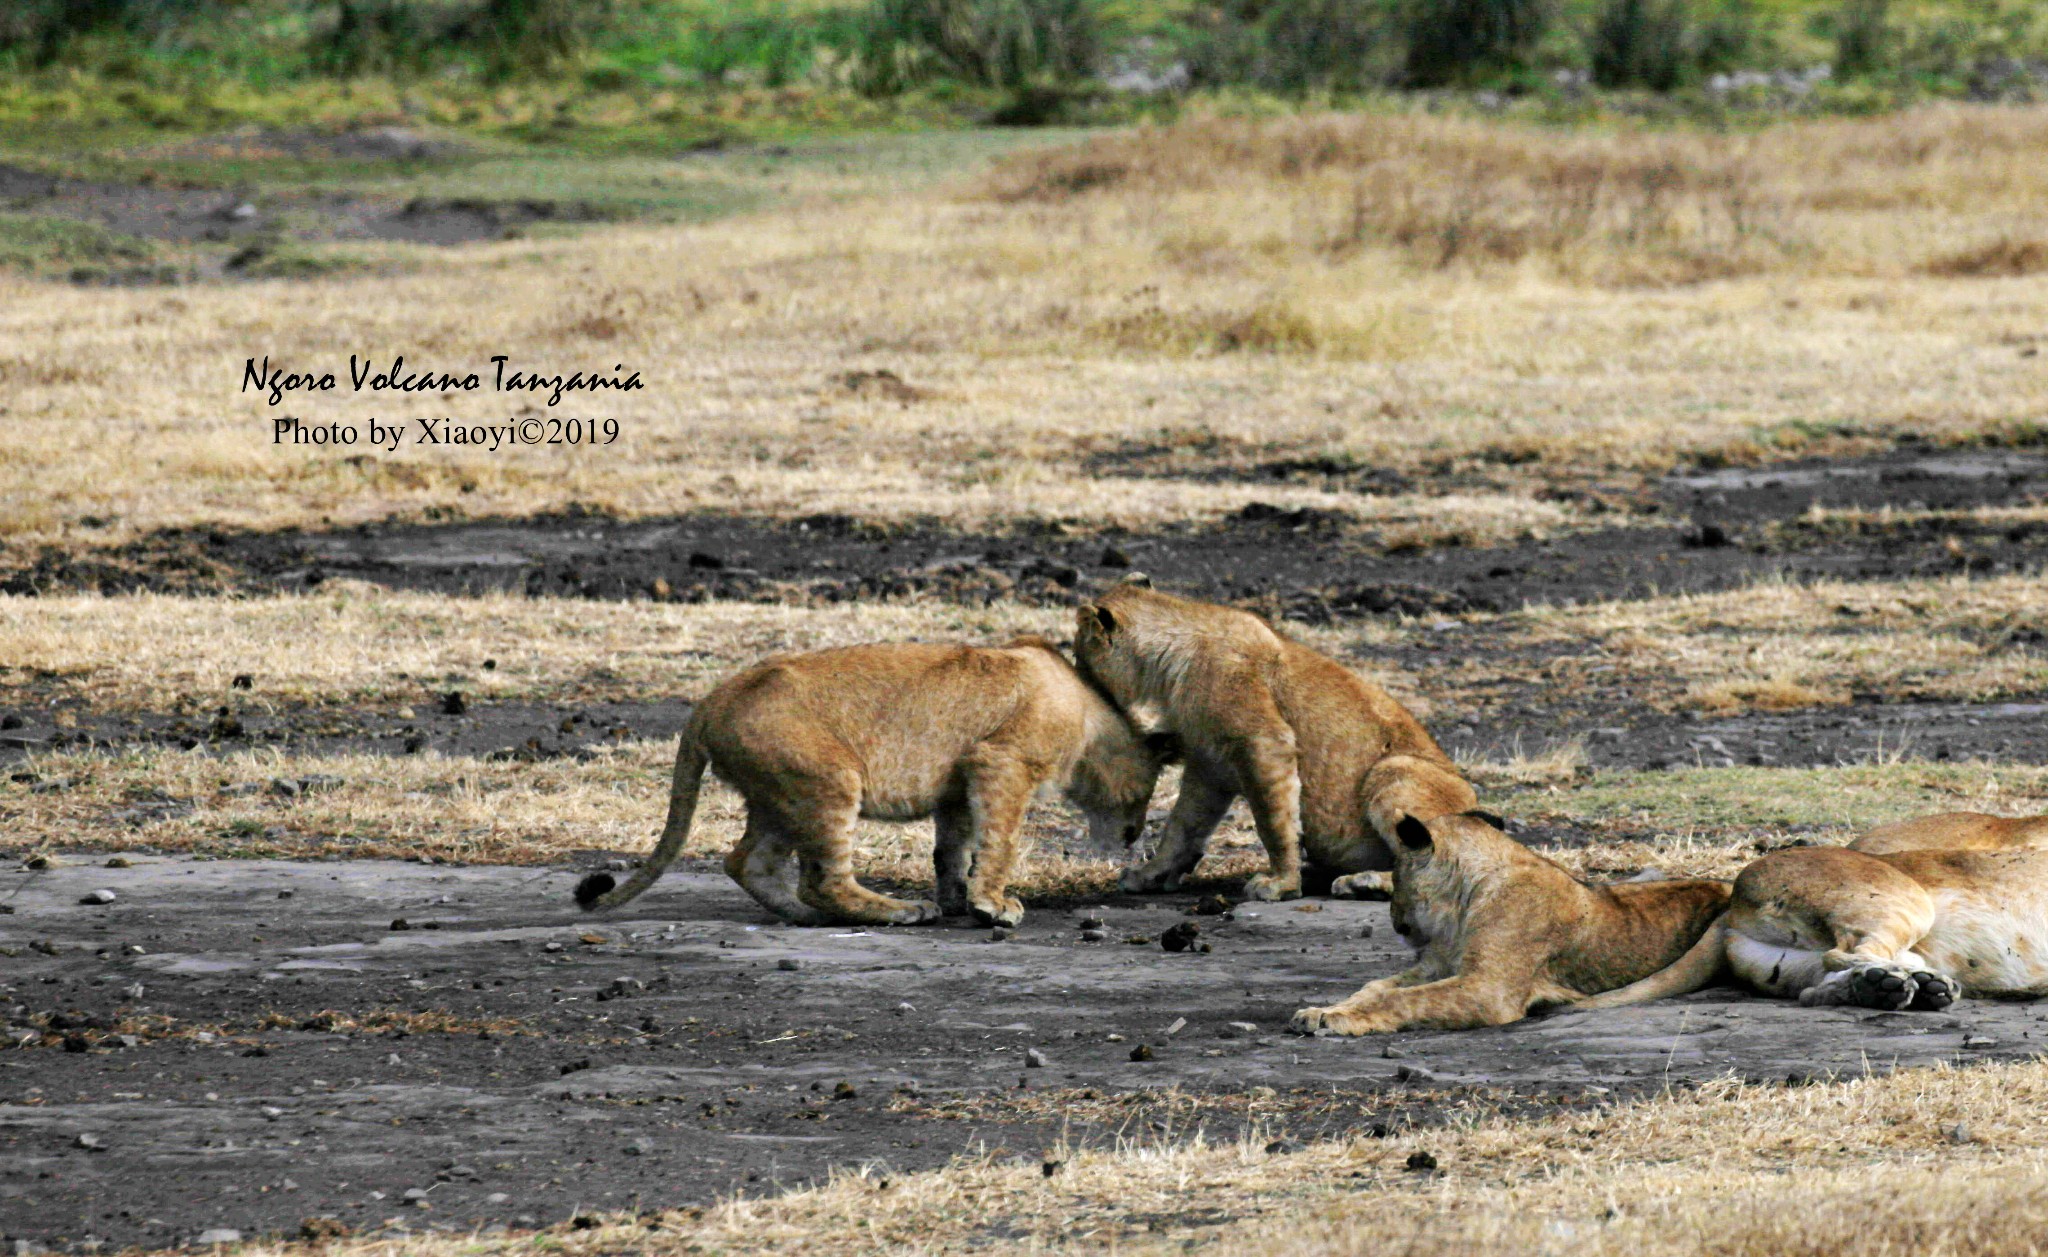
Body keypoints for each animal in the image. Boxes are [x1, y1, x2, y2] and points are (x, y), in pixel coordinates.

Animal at [573, 638, 1171, 925]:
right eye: (1145, 793)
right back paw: (896, 911)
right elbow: (999, 842)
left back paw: (804, 916)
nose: (1132, 836)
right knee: (822, 878)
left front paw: (959, 897)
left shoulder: (959, 783)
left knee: (747, 862)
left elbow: (953, 848)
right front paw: (993, 904)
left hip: (779, 794)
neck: (1089, 708)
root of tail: (712, 699)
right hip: (829, 779)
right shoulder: (1002, 762)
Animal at [1073, 577, 1474, 900]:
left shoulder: (1264, 741)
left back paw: (1363, 881)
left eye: (1078, 656)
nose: (1076, 682)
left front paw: (1280, 884)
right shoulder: (1208, 767)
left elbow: (1271, 820)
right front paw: (1150, 874)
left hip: (1393, 771)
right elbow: (1181, 826)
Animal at [1286, 814, 1736, 1039]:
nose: (1394, 920)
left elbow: (1401, 1000)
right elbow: (1376, 988)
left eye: (1395, 873)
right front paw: (1325, 1009)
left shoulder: (1488, 989)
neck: (1465, 901)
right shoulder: (1439, 966)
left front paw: (1339, 1020)